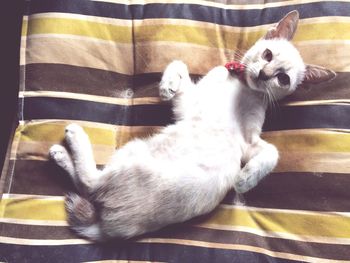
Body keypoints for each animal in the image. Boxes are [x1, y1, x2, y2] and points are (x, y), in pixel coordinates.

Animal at [48, 10, 334, 242]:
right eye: (267, 55)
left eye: (282, 79)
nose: (263, 75)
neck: (242, 86)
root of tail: (111, 229)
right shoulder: (190, 104)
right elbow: (179, 64)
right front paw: (167, 86)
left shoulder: (248, 141)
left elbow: (273, 153)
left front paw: (244, 181)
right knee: (88, 185)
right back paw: (62, 153)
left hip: (133, 154)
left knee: (90, 182)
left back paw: (71, 140)